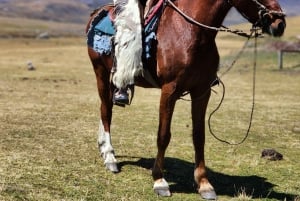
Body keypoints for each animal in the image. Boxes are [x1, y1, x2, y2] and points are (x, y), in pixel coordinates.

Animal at [85, 0, 284, 199]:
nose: (280, 23)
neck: (191, 32)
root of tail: (96, 13)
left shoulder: (202, 92)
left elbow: (199, 136)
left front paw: (204, 184)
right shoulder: (169, 91)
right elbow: (163, 135)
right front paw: (159, 180)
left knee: (106, 108)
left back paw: (104, 148)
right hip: (100, 72)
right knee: (106, 111)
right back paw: (110, 157)